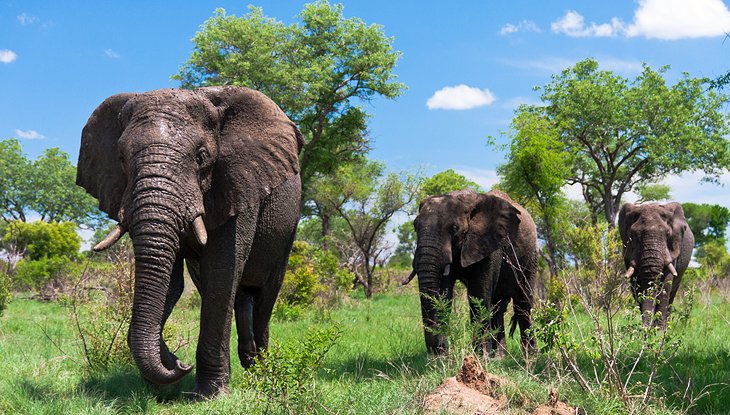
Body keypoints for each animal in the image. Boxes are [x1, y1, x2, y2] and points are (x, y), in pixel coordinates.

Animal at [74, 85, 302, 400]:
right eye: (120, 158)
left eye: (201, 156)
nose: (181, 364)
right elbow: (172, 282)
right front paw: (169, 373)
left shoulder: (238, 184)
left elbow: (221, 270)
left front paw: (208, 396)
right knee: (237, 295)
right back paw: (250, 363)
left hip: (288, 228)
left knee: (265, 294)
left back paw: (262, 372)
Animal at [400, 190, 536, 356]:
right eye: (415, 226)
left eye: (454, 228)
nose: (440, 350)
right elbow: (444, 293)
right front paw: (443, 357)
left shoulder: (488, 245)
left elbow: (478, 294)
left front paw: (480, 355)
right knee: (497, 307)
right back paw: (499, 356)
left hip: (530, 258)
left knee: (523, 304)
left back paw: (530, 355)